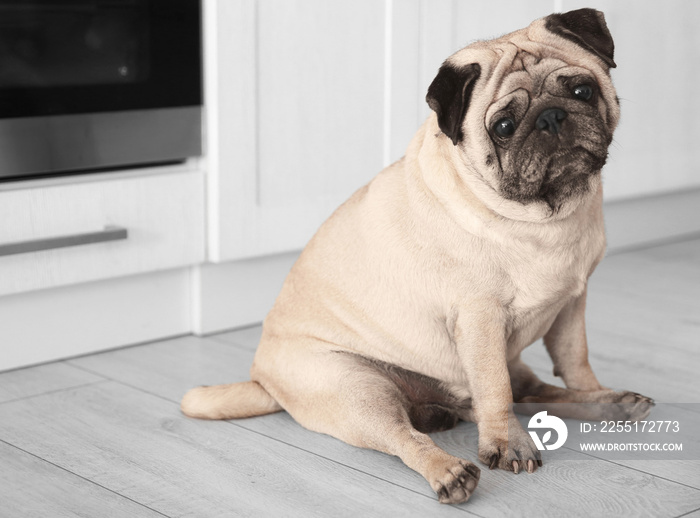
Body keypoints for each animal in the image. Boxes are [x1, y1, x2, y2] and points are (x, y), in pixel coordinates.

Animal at [183, 7, 652, 504]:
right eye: (503, 127)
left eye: (582, 91)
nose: (551, 117)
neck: (543, 219)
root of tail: (263, 380)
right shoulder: (480, 320)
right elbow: (495, 391)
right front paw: (507, 444)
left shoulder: (571, 303)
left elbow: (575, 360)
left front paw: (594, 392)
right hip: (357, 389)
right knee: (413, 431)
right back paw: (450, 470)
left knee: (533, 392)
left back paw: (610, 405)